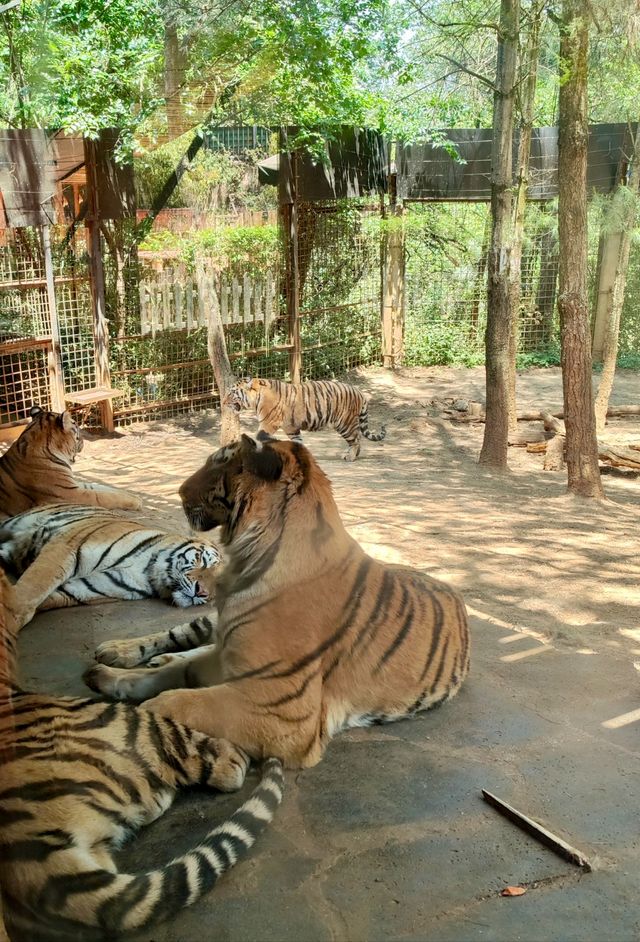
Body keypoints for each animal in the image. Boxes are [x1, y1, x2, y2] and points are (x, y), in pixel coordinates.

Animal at [0, 408, 141, 524]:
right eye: (77, 429)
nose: (84, 440)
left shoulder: (72, 484)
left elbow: (103, 488)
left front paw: (133, 495)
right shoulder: (70, 494)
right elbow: (104, 496)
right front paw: (136, 502)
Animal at [0, 506, 221, 632]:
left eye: (218, 586)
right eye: (203, 561)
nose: (202, 592)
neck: (148, 574)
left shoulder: (83, 587)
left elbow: (40, 601)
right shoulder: (65, 548)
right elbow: (29, 592)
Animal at [86, 436, 470, 776]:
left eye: (218, 462)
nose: (179, 491)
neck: (246, 558)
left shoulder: (281, 708)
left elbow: (174, 701)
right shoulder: (231, 657)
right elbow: (172, 674)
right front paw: (112, 676)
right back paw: (120, 651)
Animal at [222, 378, 388, 462]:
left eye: (232, 392)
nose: (223, 402)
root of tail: (360, 392)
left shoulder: (269, 423)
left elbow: (259, 437)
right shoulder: (291, 428)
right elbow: (297, 442)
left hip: (344, 423)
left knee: (356, 439)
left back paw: (351, 456)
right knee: (356, 438)